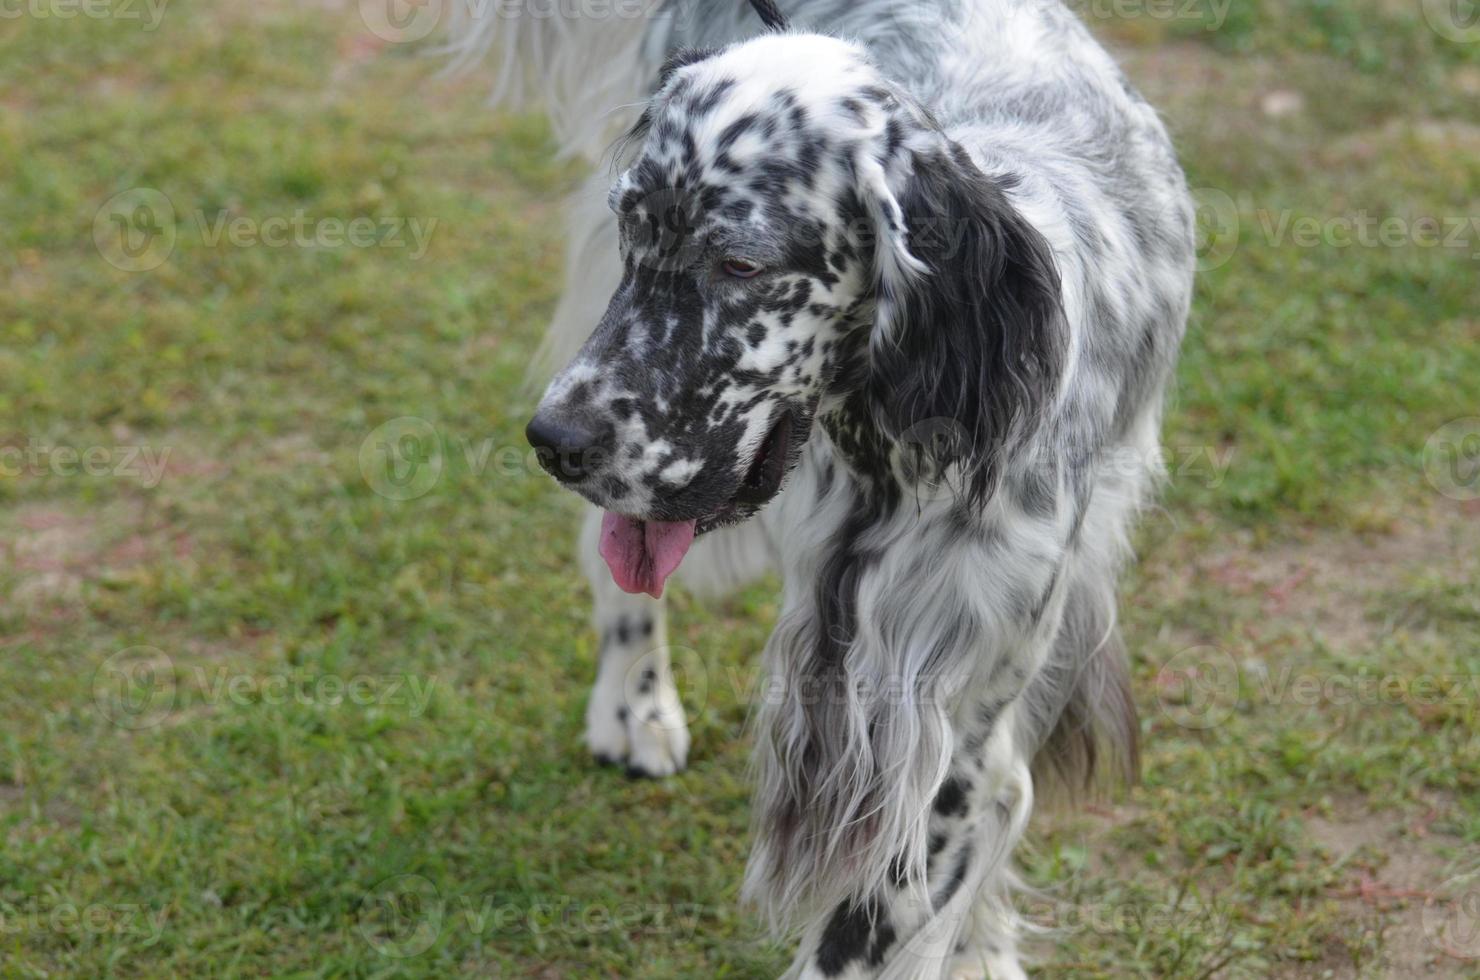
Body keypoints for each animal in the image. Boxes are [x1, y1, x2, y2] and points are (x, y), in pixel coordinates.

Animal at [467, 1, 1195, 977]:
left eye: (740, 265)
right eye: (635, 230)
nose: (555, 441)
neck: (892, 453)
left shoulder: (951, 739)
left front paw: (979, 941)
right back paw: (636, 701)